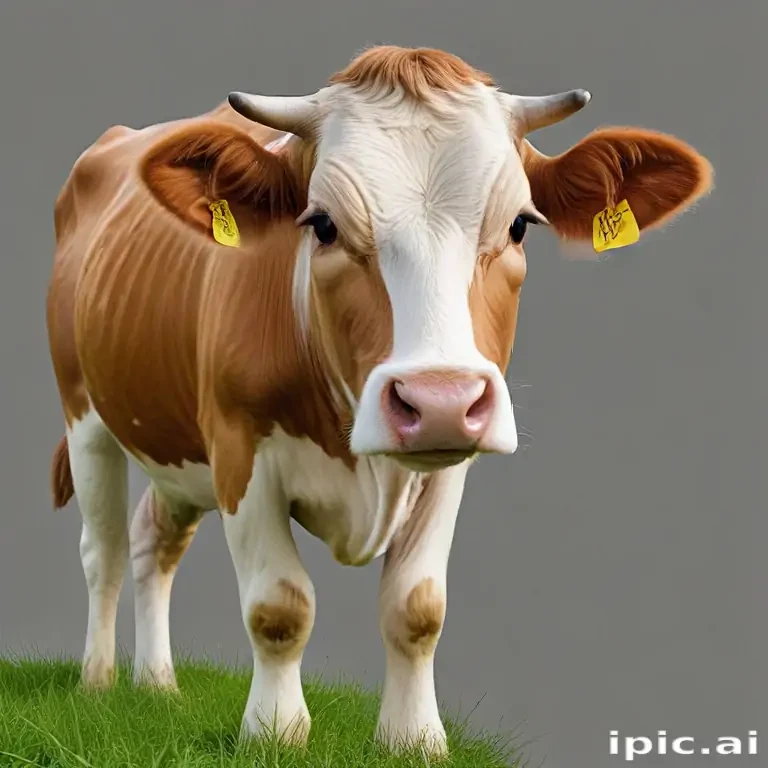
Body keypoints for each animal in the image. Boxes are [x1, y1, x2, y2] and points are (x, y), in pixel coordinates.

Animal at [46, 45, 713, 756]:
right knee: (104, 551)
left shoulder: (448, 466)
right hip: (86, 414)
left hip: (173, 447)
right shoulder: (238, 447)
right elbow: (279, 607)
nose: (440, 399)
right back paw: (98, 684)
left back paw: (158, 687)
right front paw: (275, 734)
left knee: (155, 540)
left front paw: (414, 739)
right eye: (322, 225)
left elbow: (417, 608)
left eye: (519, 226)